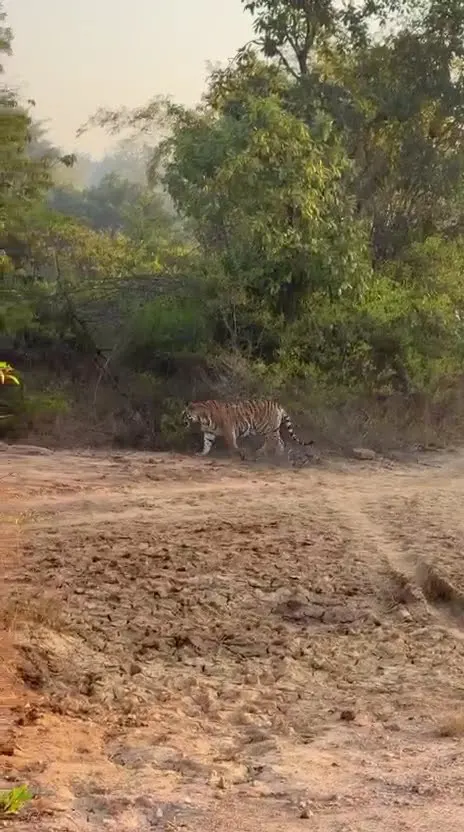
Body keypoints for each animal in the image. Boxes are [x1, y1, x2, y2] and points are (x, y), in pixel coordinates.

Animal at [183, 399, 313, 459]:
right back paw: (278, 455)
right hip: (273, 429)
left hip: (265, 428)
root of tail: (277, 404)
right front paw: (202, 453)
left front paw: (237, 453)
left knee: (272, 441)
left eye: (185, 414)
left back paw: (260, 452)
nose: (182, 421)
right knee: (280, 441)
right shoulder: (208, 432)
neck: (202, 418)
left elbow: (232, 443)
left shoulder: (228, 429)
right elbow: (207, 444)